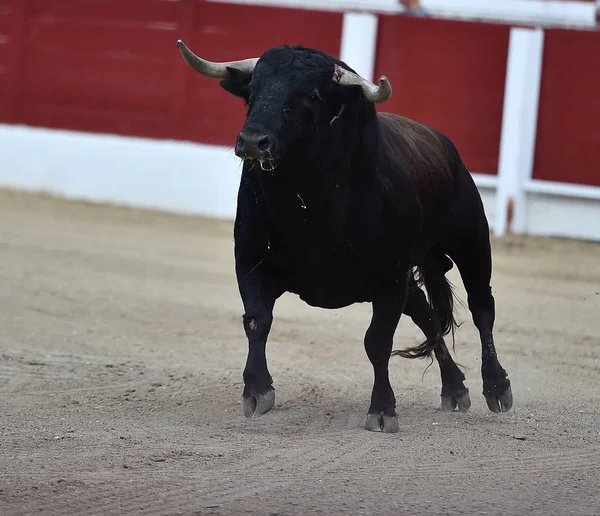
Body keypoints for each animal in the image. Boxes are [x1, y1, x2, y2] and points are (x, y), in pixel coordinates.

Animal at [175, 39, 510, 432]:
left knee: (482, 307)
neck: (310, 206)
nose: (253, 142)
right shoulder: (250, 260)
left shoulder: (389, 280)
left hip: (471, 241)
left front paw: (382, 409)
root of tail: (445, 146)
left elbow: (377, 342)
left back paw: (497, 388)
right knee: (427, 315)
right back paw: (455, 389)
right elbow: (257, 321)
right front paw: (257, 392)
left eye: (310, 96)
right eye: (253, 91)